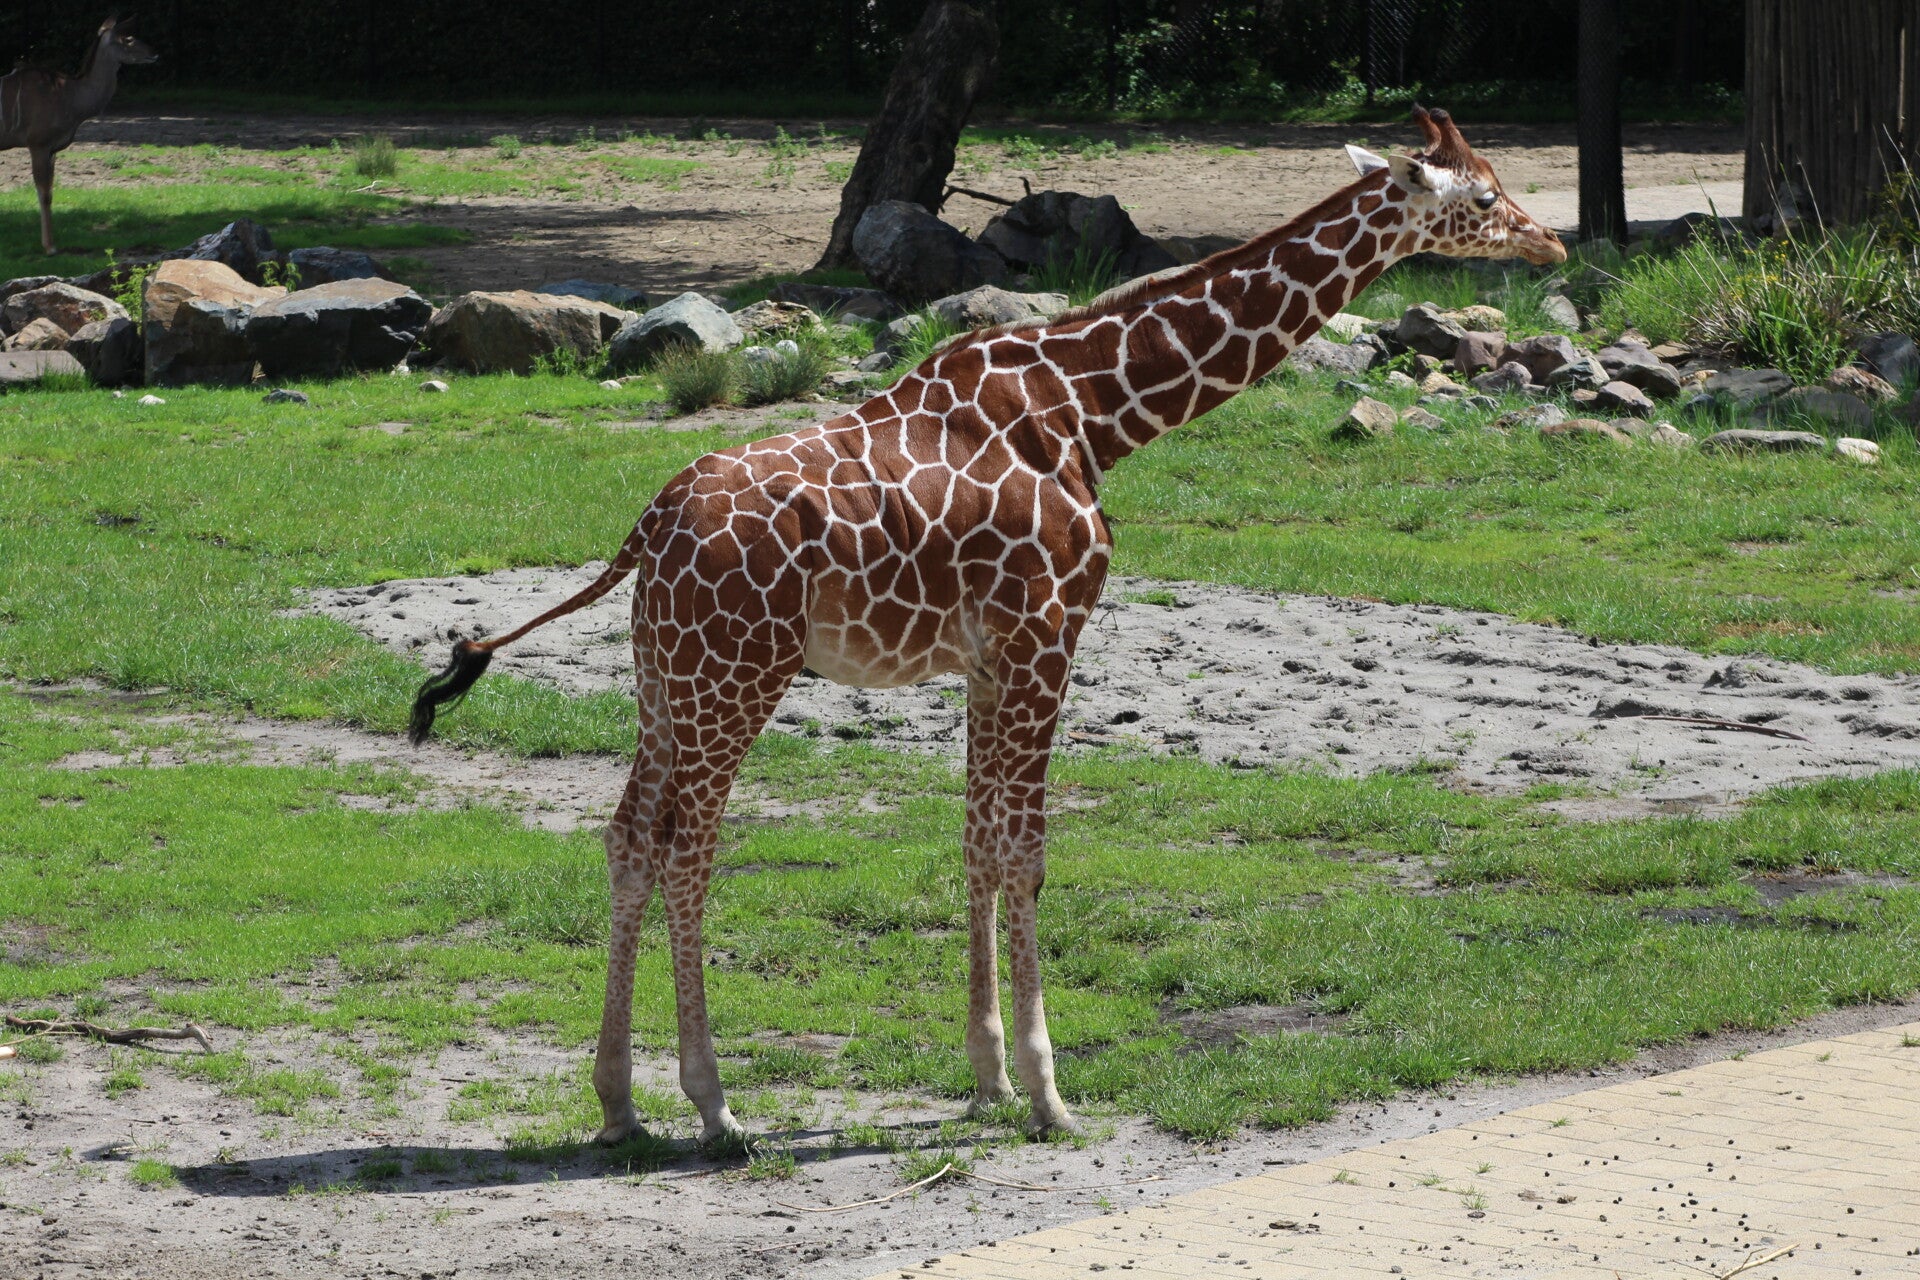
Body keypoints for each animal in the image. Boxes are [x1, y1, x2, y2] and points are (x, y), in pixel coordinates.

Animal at [408, 108, 1565, 1145]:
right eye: (1480, 197)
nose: (1549, 241)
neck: (1100, 406)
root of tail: (648, 524)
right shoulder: (1049, 631)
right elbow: (1028, 852)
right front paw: (1051, 1093)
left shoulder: (985, 655)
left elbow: (973, 842)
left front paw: (988, 1080)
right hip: (741, 672)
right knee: (690, 845)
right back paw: (714, 1104)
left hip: (666, 678)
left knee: (628, 839)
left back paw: (618, 1104)